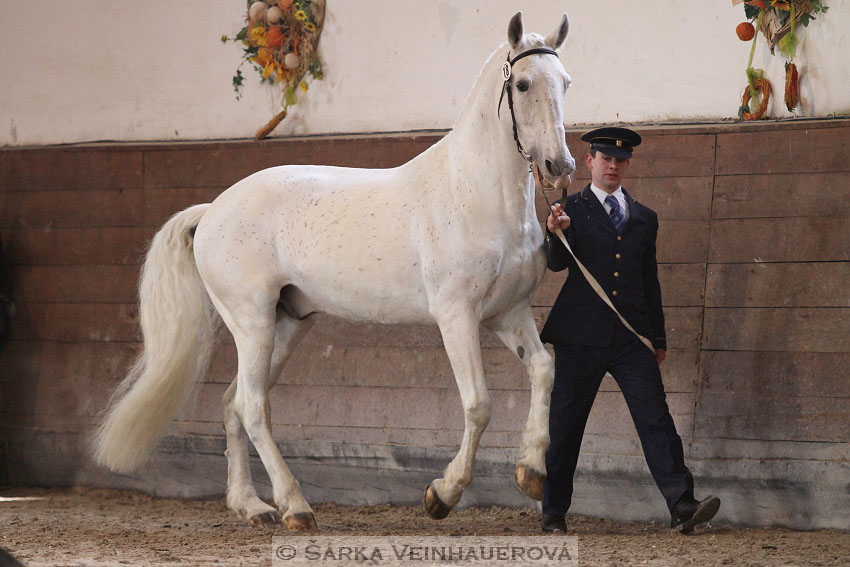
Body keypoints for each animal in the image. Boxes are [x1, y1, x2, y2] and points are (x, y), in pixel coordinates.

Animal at [94, 11, 576, 532]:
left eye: (566, 82)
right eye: (523, 84)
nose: (560, 165)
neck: (478, 195)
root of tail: (211, 211)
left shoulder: (507, 313)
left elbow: (544, 370)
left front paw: (531, 471)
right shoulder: (457, 316)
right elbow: (479, 404)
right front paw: (441, 495)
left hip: (288, 325)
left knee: (232, 404)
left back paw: (252, 506)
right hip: (252, 322)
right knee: (252, 406)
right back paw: (295, 507)